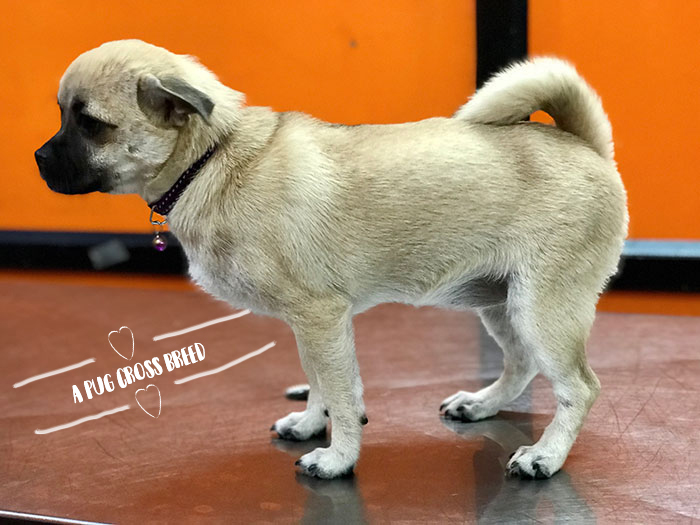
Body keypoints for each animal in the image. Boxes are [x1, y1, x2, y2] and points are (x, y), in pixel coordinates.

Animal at [35, 40, 628, 479]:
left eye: (90, 123)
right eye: (63, 116)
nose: (38, 156)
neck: (215, 159)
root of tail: (586, 146)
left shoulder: (320, 317)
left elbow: (341, 394)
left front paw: (339, 457)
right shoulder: (313, 325)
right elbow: (320, 380)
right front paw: (309, 423)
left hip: (540, 309)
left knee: (579, 388)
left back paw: (545, 456)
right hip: (500, 303)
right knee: (521, 364)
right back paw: (481, 405)